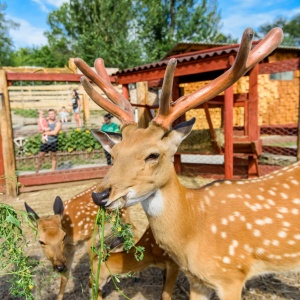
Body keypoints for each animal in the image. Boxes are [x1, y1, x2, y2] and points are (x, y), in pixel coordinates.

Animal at [72, 28, 300, 300]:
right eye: (114, 154)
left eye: (153, 155)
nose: (100, 195)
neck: (194, 227)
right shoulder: (196, 280)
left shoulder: (232, 274)